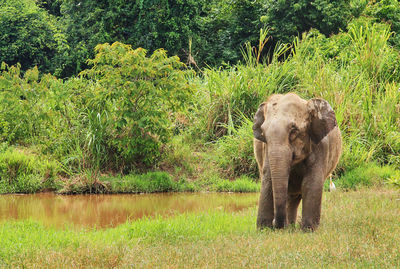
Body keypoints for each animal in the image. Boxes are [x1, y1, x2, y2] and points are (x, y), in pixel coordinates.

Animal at [253, 92, 340, 230]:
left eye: (294, 130)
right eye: (263, 134)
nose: (277, 225)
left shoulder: (321, 144)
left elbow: (311, 182)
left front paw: (309, 229)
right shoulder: (266, 149)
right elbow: (268, 179)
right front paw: (264, 229)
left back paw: (292, 226)